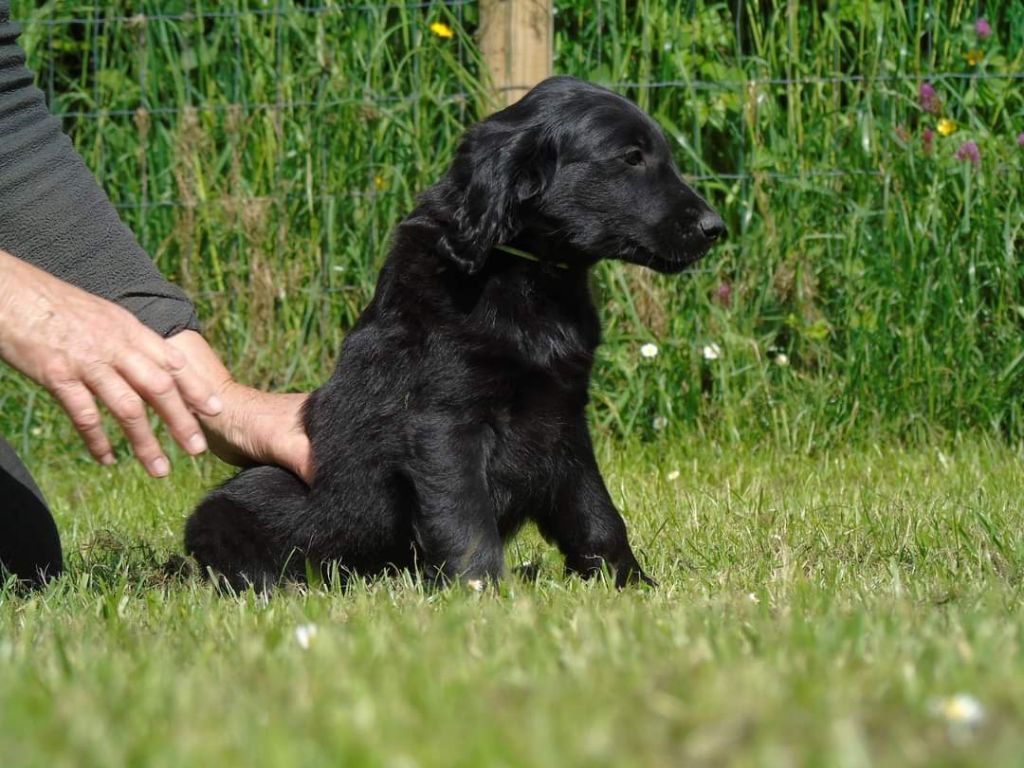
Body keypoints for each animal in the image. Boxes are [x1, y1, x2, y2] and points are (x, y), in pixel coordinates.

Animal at [185, 76, 725, 590]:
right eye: (631, 158)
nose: (715, 227)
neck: (526, 276)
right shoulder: (444, 423)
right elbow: (464, 517)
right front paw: (479, 592)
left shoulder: (564, 420)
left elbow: (595, 511)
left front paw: (629, 582)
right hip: (234, 509)